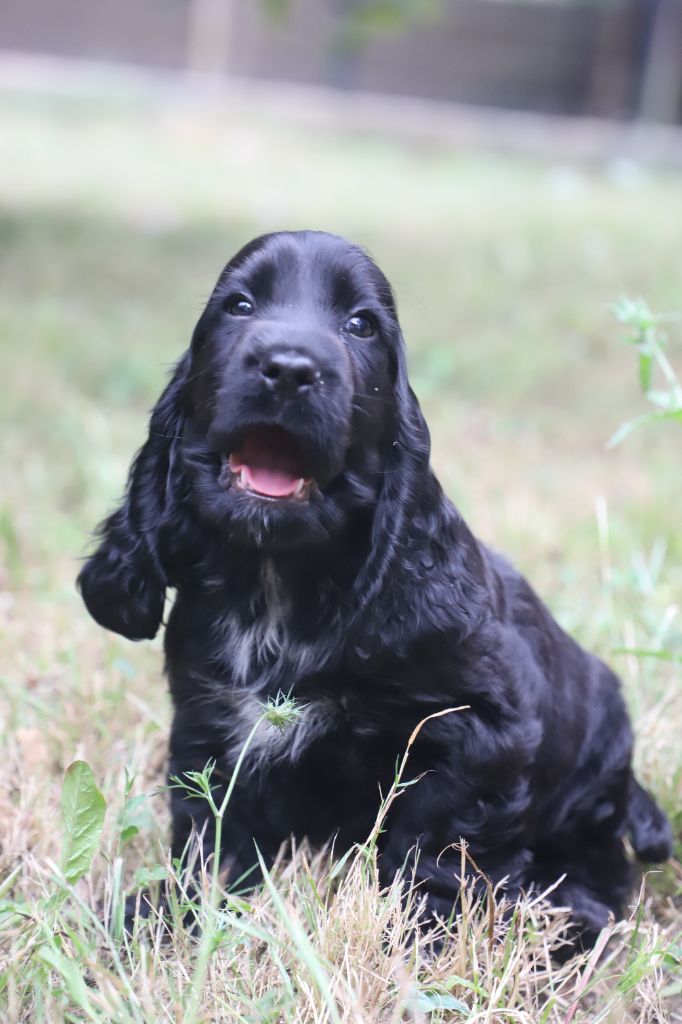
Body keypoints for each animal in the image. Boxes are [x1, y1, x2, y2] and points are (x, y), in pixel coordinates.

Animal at [78, 230, 667, 950]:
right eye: (238, 305)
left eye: (361, 325)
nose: (288, 368)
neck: (279, 579)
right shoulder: (207, 725)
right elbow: (212, 836)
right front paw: (172, 913)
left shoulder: (484, 731)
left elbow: (435, 841)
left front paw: (422, 935)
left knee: (605, 864)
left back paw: (572, 915)